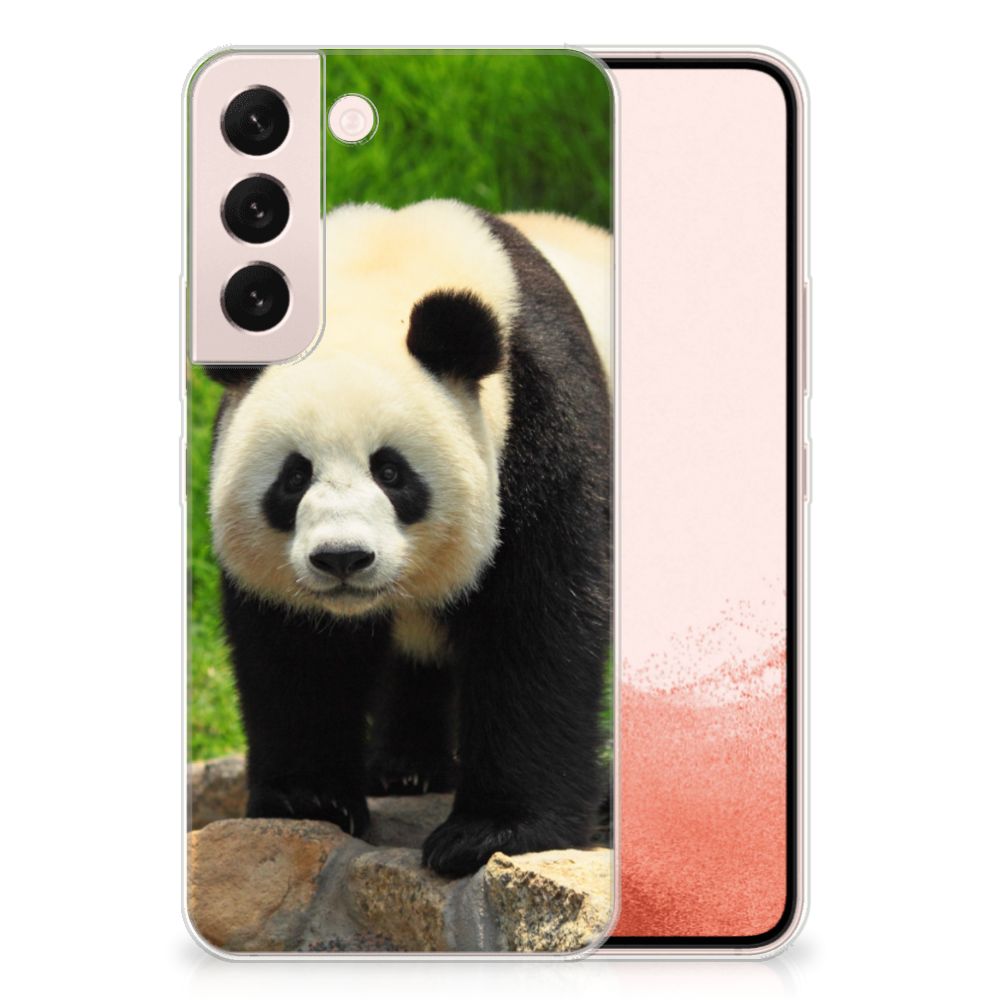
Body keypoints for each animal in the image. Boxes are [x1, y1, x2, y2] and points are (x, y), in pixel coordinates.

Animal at [207, 199, 611, 876]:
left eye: (391, 472)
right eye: (294, 477)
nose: (342, 558)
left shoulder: (542, 420)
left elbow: (539, 623)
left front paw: (491, 832)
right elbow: (296, 649)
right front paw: (309, 799)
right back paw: (404, 769)